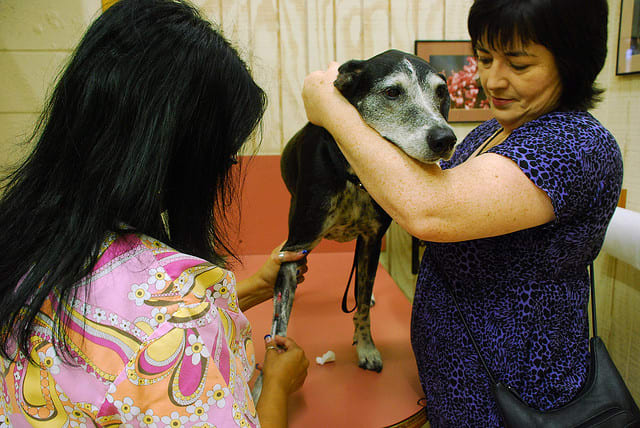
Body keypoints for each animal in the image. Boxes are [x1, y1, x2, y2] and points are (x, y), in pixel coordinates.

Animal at [268, 48, 458, 382]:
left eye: (441, 92)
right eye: (392, 92)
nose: (445, 139)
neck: (354, 175)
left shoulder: (371, 241)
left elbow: (363, 308)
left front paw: (366, 347)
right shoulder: (296, 247)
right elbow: (281, 321)